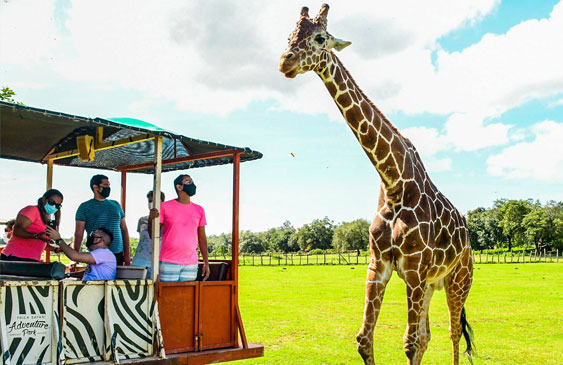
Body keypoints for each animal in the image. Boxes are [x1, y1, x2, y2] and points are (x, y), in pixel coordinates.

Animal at [280, 3, 474, 364]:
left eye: (320, 37)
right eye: (289, 37)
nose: (286, 62)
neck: (395, 180)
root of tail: (469, 239)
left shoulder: (413, 269)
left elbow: (409, 342)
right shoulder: (378, 265)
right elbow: (365, 339)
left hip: (460, 279)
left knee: (454, 334)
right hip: (432, 284)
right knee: (429, 335)